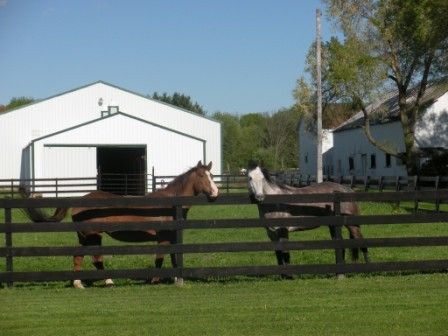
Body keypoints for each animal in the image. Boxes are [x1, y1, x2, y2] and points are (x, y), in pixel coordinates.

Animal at [21, 161, 219, 288]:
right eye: (202, 175)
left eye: (212, 175)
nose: (216, 192)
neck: (171, 203)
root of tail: (79, 200)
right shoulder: (163, 237)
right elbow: (160, 258)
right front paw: (155, 280)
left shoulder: (172, 236)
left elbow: (173, 258)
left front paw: (176, 278)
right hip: (94, 236)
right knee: (96, 259)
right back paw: (108, 281)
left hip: (84, 236)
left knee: (78, 257)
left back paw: (78, 283)